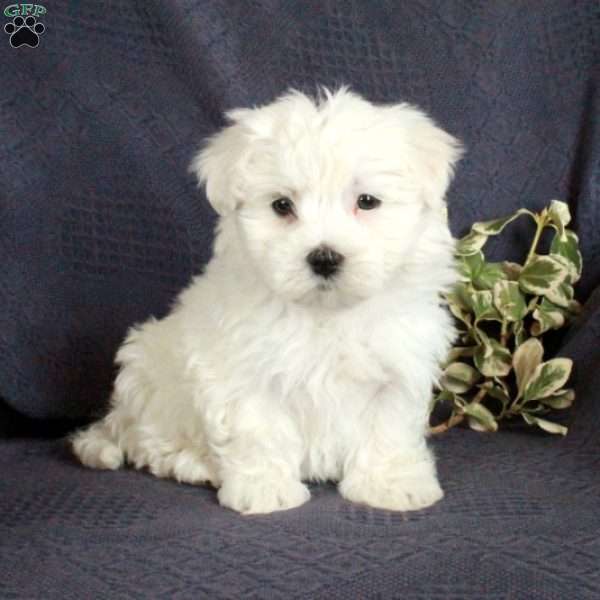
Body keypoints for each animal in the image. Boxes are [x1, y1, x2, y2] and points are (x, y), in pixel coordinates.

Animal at [71, 88, 464, 516]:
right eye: (281, 206)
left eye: (367, 201)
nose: (324, 258)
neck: (325, 312)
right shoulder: (243, 371)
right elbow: (257, 430)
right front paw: (265, 489)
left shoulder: (397, 367)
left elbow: (388, 428)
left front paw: (391, 484)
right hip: (148, 379)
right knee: (150, 444)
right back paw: (195, 464)